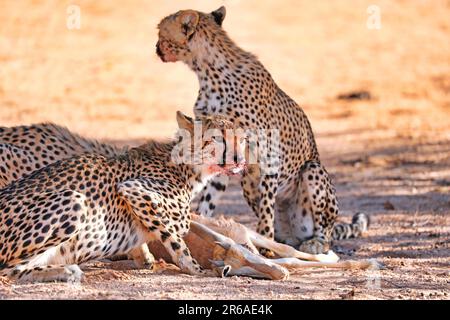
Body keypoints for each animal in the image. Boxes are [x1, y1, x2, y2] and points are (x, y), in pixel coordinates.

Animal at [0, 111, 246, 282]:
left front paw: (145, 258)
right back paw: (67, 270)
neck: (188, 167)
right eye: (218, 138)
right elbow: (176, 240)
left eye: (241, 140)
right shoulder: (133, 189)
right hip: (74, 200)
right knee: (10, 269)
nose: (240, 160)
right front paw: (198, 269)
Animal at [156, 6, 368, 254]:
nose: (156, 49)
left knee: (325, 231)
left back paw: (313, 242)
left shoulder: (269, 153)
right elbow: (208, 196)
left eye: (160, 33)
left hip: (312, 170)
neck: (208, 71)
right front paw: (201, 225)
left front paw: (266, 243)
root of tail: (295, 234)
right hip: (249, 184)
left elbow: (267, 206)